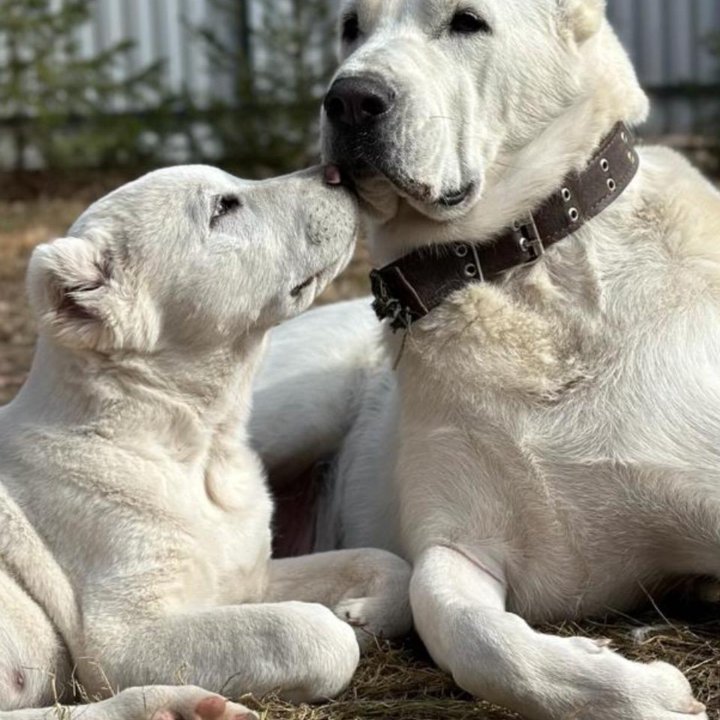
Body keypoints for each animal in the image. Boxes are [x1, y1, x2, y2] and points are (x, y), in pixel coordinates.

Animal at [0, 166, 410, 716]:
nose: (337, 171)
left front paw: (363, 612)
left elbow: (383, 559)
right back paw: (170, 706)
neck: (198, 452)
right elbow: (311, 633)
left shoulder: (245, 576)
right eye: (222, 208)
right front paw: (343, 627)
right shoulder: (122, 638)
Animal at [252, 1, 720, 720]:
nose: (349, 99)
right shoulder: (456, 543)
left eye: (467, 21)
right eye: (351, 27)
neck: (513, 268)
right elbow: (467, 631)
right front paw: (641, 690)